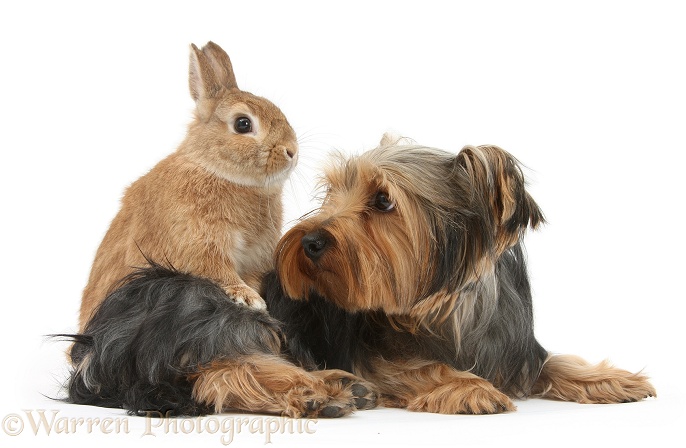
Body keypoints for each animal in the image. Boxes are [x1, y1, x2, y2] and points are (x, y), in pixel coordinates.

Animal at [67, 134, 660, 416]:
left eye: (382, 201)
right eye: (334, 192)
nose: (309, 240)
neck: (447, 307)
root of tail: (96, 340)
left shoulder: (516, 348)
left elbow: (556, 361)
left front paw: (613, 379)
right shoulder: (376, 353)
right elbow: (416, 367)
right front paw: (466, 386)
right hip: (206, 305)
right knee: (218, 369)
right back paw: (315, 392)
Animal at [78, 41, 298, 328]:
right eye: (243, 123)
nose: (292, 151)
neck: (216, 170)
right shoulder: (200, 242)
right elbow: (218, 271)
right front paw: (248, 298)